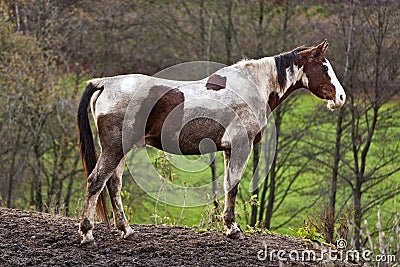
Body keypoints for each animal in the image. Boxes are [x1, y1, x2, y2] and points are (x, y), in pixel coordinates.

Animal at [77, 39, 344, 245]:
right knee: (96, 181)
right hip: (114, 148)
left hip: (121, 149)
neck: (253, 86)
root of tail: (105, 83)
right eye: (324, 66)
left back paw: (126, 230)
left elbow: (227, 184)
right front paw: (234, 229)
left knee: (113, 184)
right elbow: (233, 186)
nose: (340, 97)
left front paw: (229, 226)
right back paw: (87, 233)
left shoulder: (228, 149)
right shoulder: (242, 145)